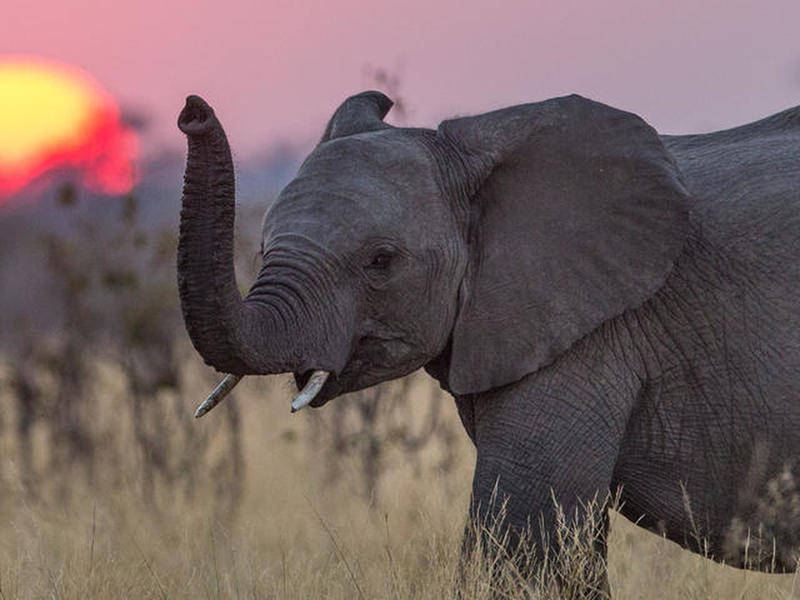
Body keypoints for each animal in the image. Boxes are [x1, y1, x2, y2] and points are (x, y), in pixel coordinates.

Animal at [178, 89, 800, 576]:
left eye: (380, 261)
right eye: (262, 249)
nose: (192, 111)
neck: (474, 151)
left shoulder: (589, 330)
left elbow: (524, 534)